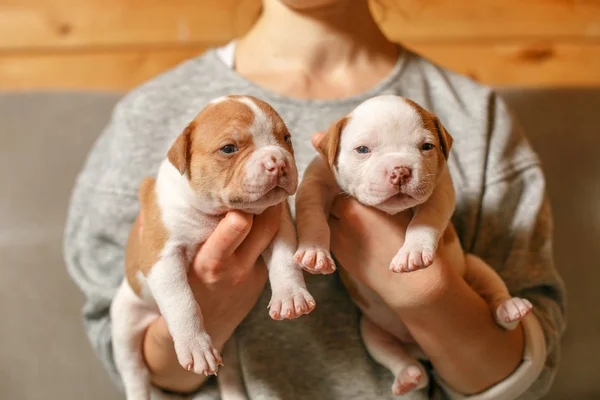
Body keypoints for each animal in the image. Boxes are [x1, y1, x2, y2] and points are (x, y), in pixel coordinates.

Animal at [112, 96, 316, 400]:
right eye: (229, 148)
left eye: (286, 139)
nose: (278, 161)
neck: (218, 214)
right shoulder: (163, 257)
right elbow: (182, 300)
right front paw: (195, 346)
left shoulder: (279, 224)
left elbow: (284, 260)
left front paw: (290, 296)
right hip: (125, 322)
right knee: (135, 372)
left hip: (228, 341)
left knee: (230, 370)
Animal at [296, 94, 536, 396]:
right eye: (362, 149)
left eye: (426, 147)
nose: (400, 170)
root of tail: (418, 348)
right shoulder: (317, 179)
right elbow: (311, 213)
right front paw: (314, 253)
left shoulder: (440, 188)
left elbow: (425, 220)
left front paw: (414, 252)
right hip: (370, 327)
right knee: (391, 352)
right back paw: (409, 375)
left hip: (476, 266)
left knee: (494, 289)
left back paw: (509, 309)